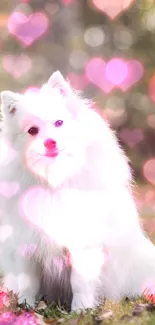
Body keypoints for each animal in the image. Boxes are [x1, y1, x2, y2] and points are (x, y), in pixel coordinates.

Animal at [0, 71, 154, 312]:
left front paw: (81, 310)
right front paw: (25, 306)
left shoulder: (83, 242)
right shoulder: (26, 244)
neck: (54, 180)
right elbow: (28, 281)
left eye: (59, 122)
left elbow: (80, 282)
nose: (50, 142)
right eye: (32, 130)